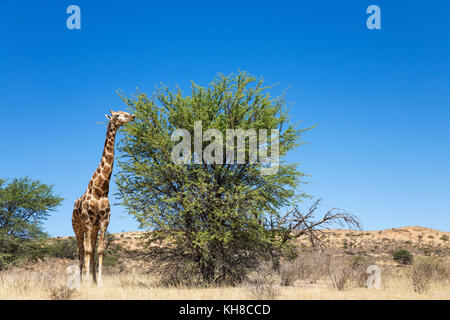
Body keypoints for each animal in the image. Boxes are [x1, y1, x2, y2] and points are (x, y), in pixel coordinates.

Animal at [71, 109, 135, 284]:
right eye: (117, 115)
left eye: (124, 112)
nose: (133, 116)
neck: (100, 189)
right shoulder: (87, 220)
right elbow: (86, 250)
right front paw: (86, 282)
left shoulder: (104, 220)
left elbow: (99, 250)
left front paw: (99, 282)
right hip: (77, 226)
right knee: (81, 250)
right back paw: (81, 281)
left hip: (93, 228)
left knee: (91, 249)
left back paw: (91, 280)